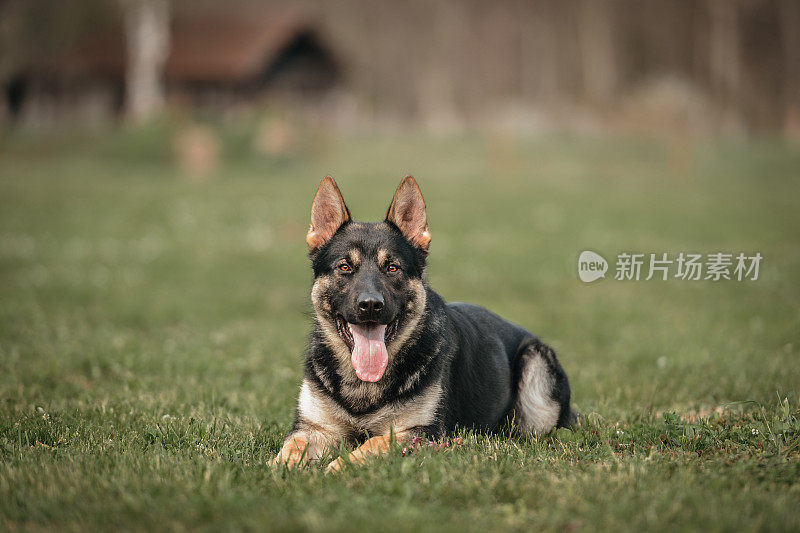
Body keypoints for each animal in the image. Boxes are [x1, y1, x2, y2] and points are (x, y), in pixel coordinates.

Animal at [272, 177, 572, 472]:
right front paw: (280, 469)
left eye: (392, 268)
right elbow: (291, 448)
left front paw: (338, 467)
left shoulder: (418, 431)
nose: (370, 305)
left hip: (535, 373)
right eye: (345, 267)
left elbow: (373, 443)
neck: (363, 386)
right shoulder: (315, 429)